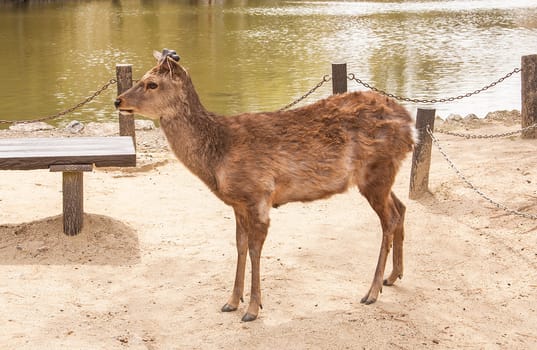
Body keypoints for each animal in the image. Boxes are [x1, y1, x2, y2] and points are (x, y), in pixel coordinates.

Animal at [113, 49, 414, 322]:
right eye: (141, 77)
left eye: (152, 83)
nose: (118, 100)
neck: (217, 159)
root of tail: (409, 124)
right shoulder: (237, 203)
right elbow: (239, 245)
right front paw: (231, 301)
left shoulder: (258, 194)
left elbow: (255, 249)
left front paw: (252, 309)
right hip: (382, 176)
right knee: (401, 207)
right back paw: (393, 276)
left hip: (377, 172)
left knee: (389, 218)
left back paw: (372, 292)